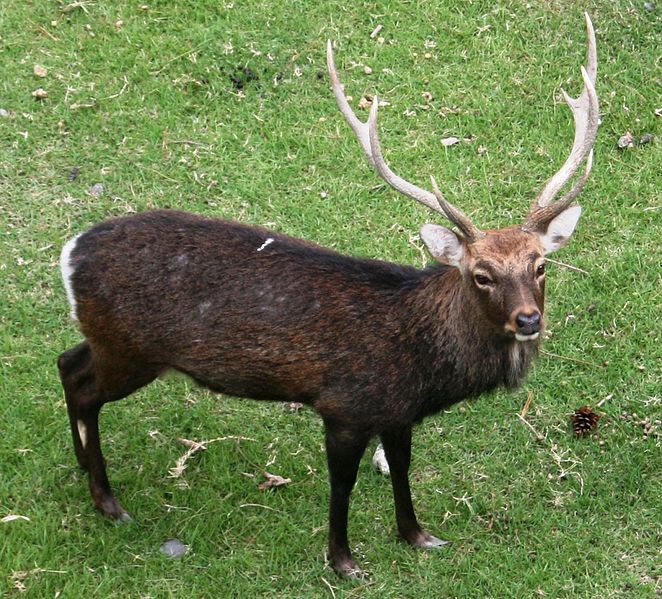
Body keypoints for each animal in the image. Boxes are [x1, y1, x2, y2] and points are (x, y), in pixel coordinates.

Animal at [57, 15, 600, 580]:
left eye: (540, 265)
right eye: (482, 275)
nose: (528, 319)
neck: (420, 361)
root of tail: (70, 252)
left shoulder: (396, 412)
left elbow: (401, 469)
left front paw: (418, 535)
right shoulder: (343, 405)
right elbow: (343, 485)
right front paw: (343, 560)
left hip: (110, 342)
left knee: (67, 363)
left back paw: (83, 466)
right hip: (129, 348)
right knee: (84, 386)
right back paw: (109, 502)